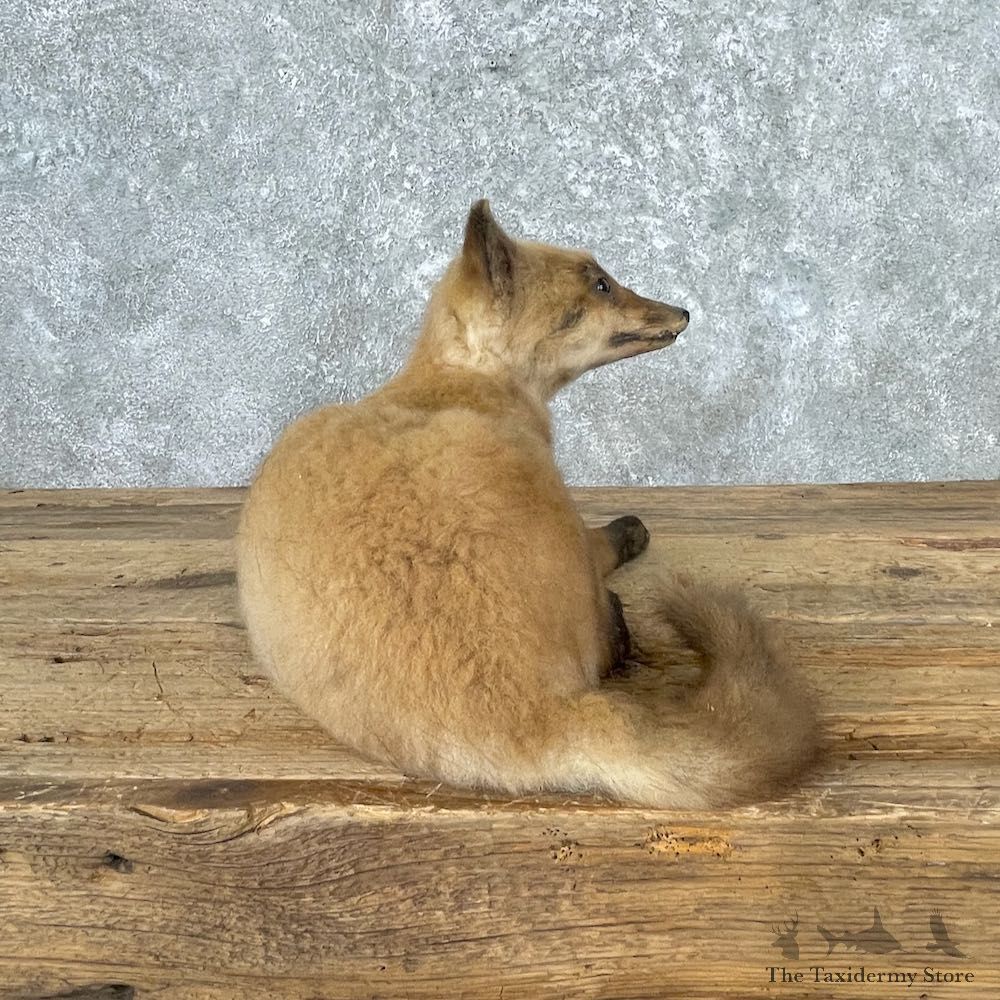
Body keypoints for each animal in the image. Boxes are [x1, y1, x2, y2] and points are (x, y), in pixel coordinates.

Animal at [236, 199, 818, 808]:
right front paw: (630, 531)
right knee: (610, 639)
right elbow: (605, 541)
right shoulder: (577, 526)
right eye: (602, 284)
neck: (463, 385)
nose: (682, 311)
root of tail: (541, 716)